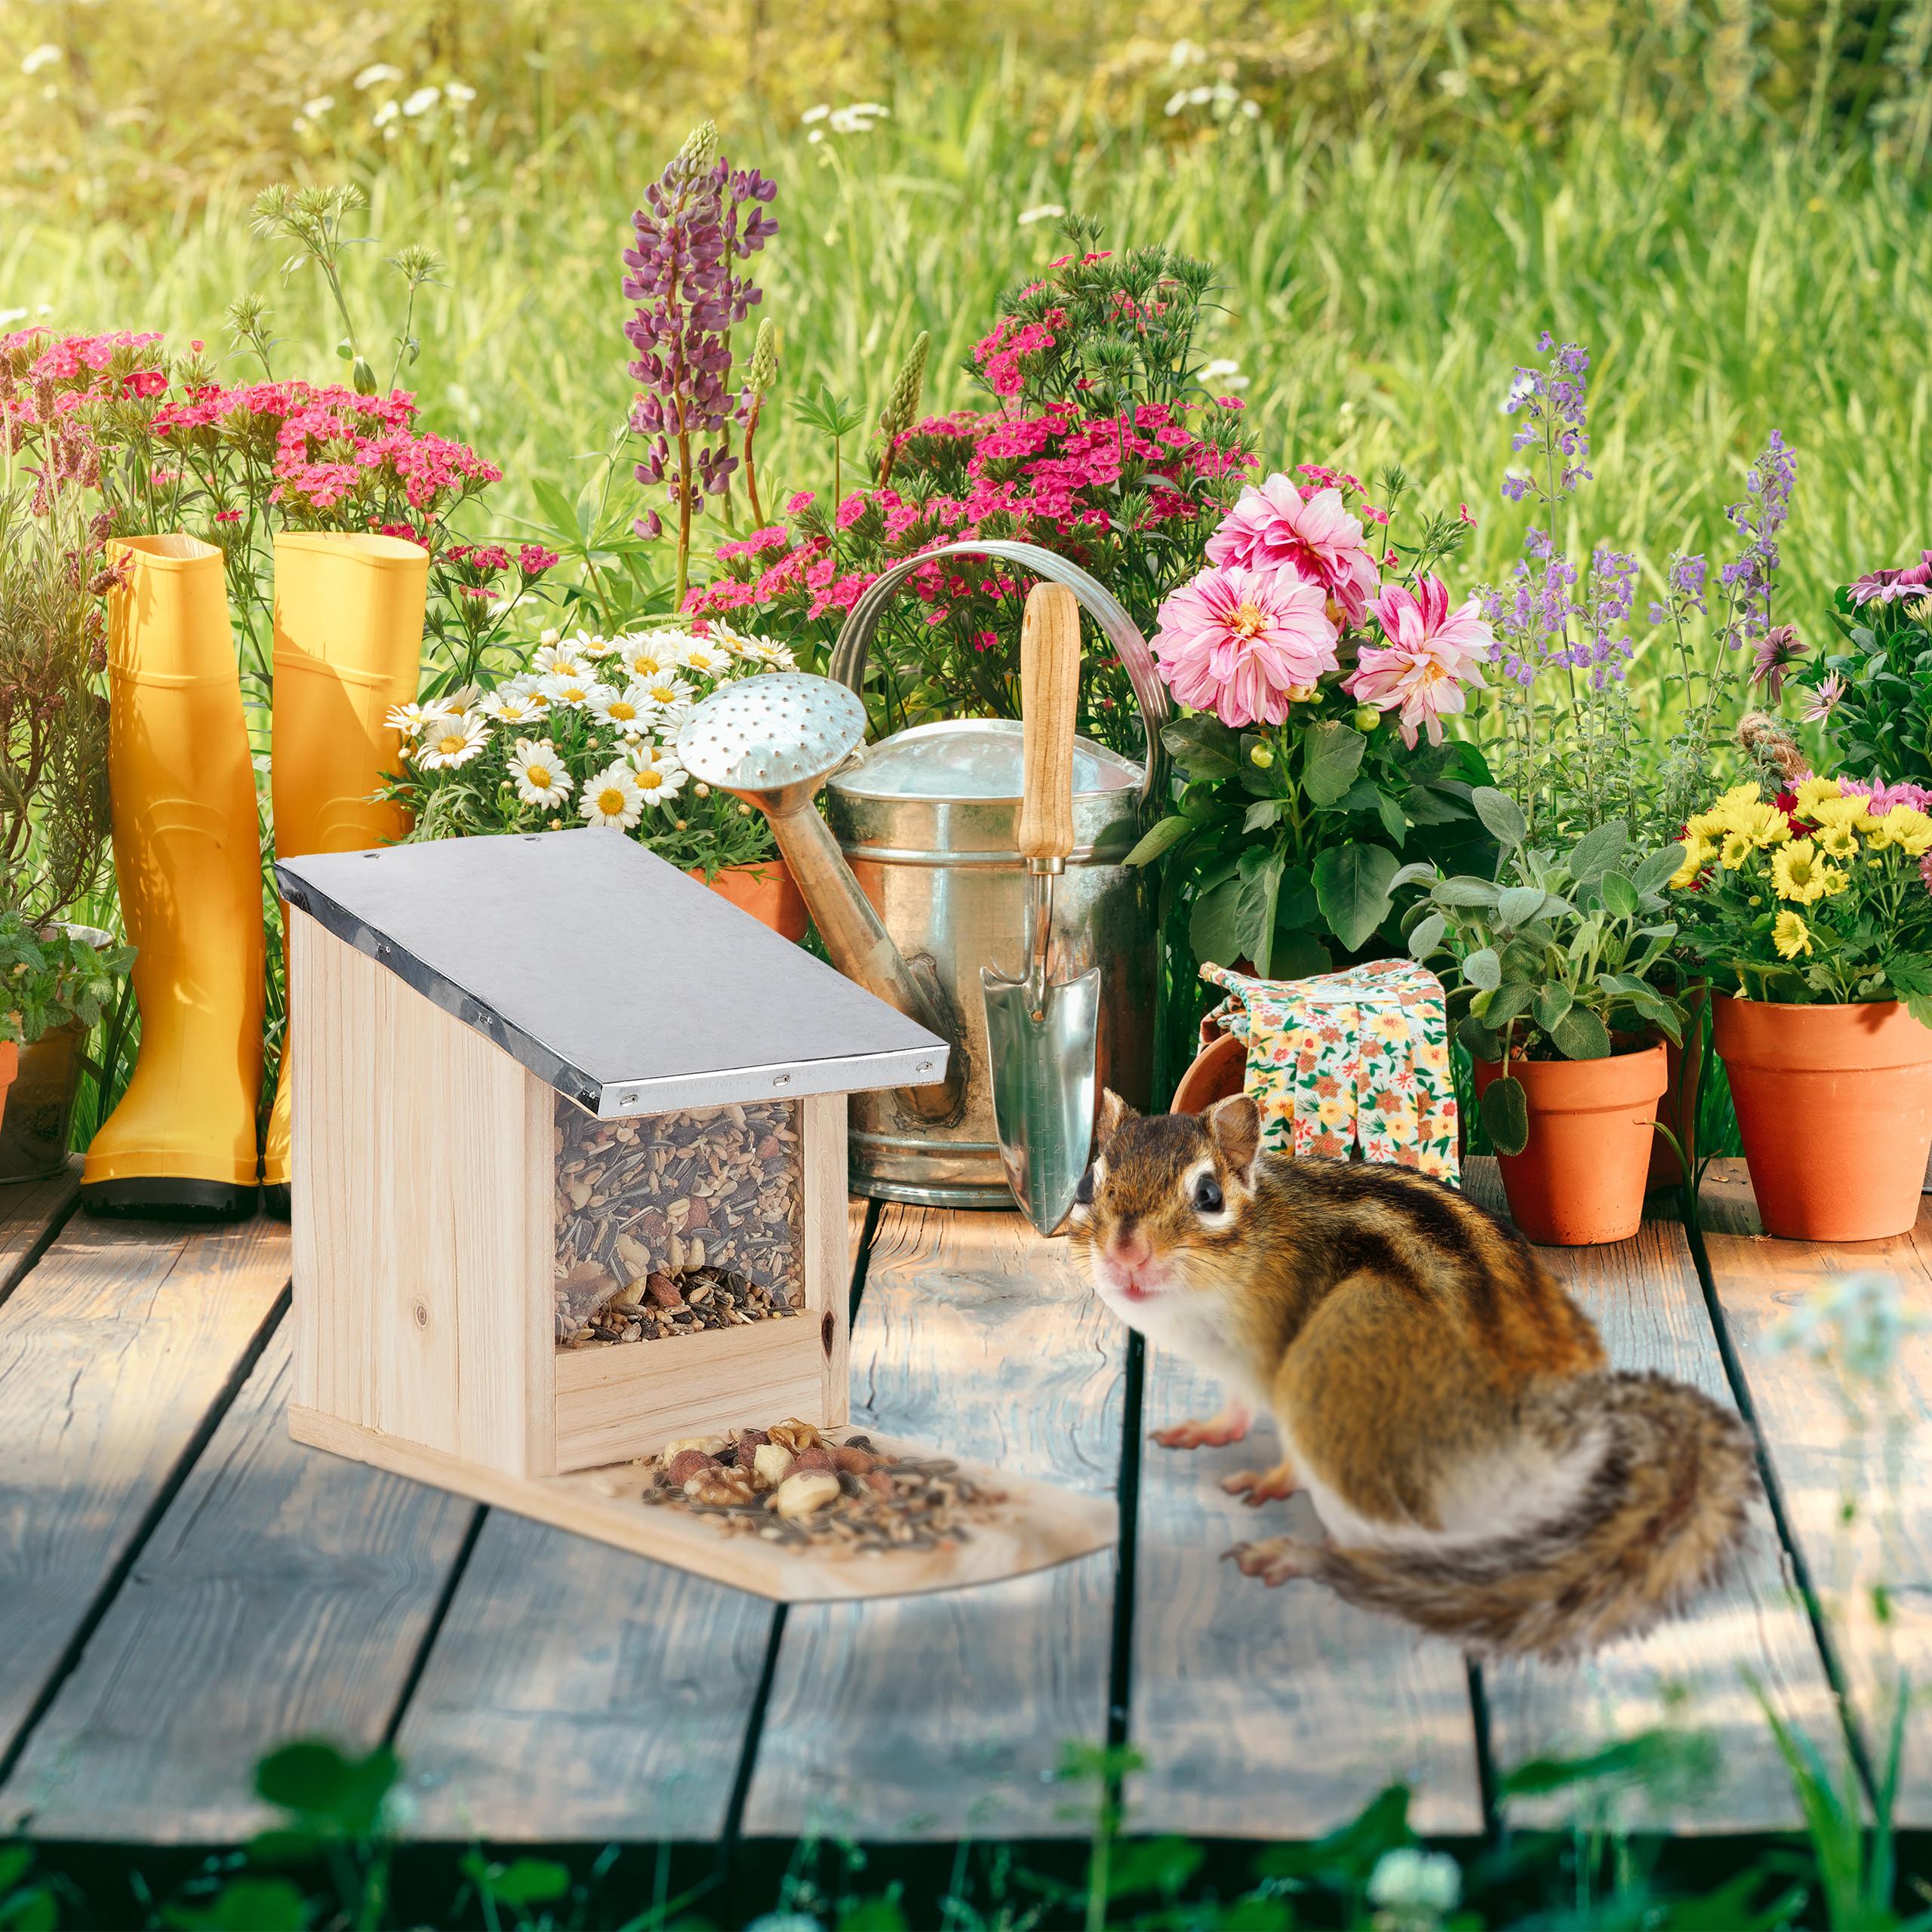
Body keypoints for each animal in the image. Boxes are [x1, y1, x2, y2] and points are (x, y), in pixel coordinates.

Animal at [1065, 1088, 1761, 1660]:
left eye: (1208, 1196)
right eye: (1088, 1185)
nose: (1126, 1253)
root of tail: (1567, 1437)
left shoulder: (1278, 1358)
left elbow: (1283, 1452)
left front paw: (1270, 1482)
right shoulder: (1241, 1372)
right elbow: (1235, 1409)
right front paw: (1202, 1432)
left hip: (1334, 1381)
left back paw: (1298, 1556)